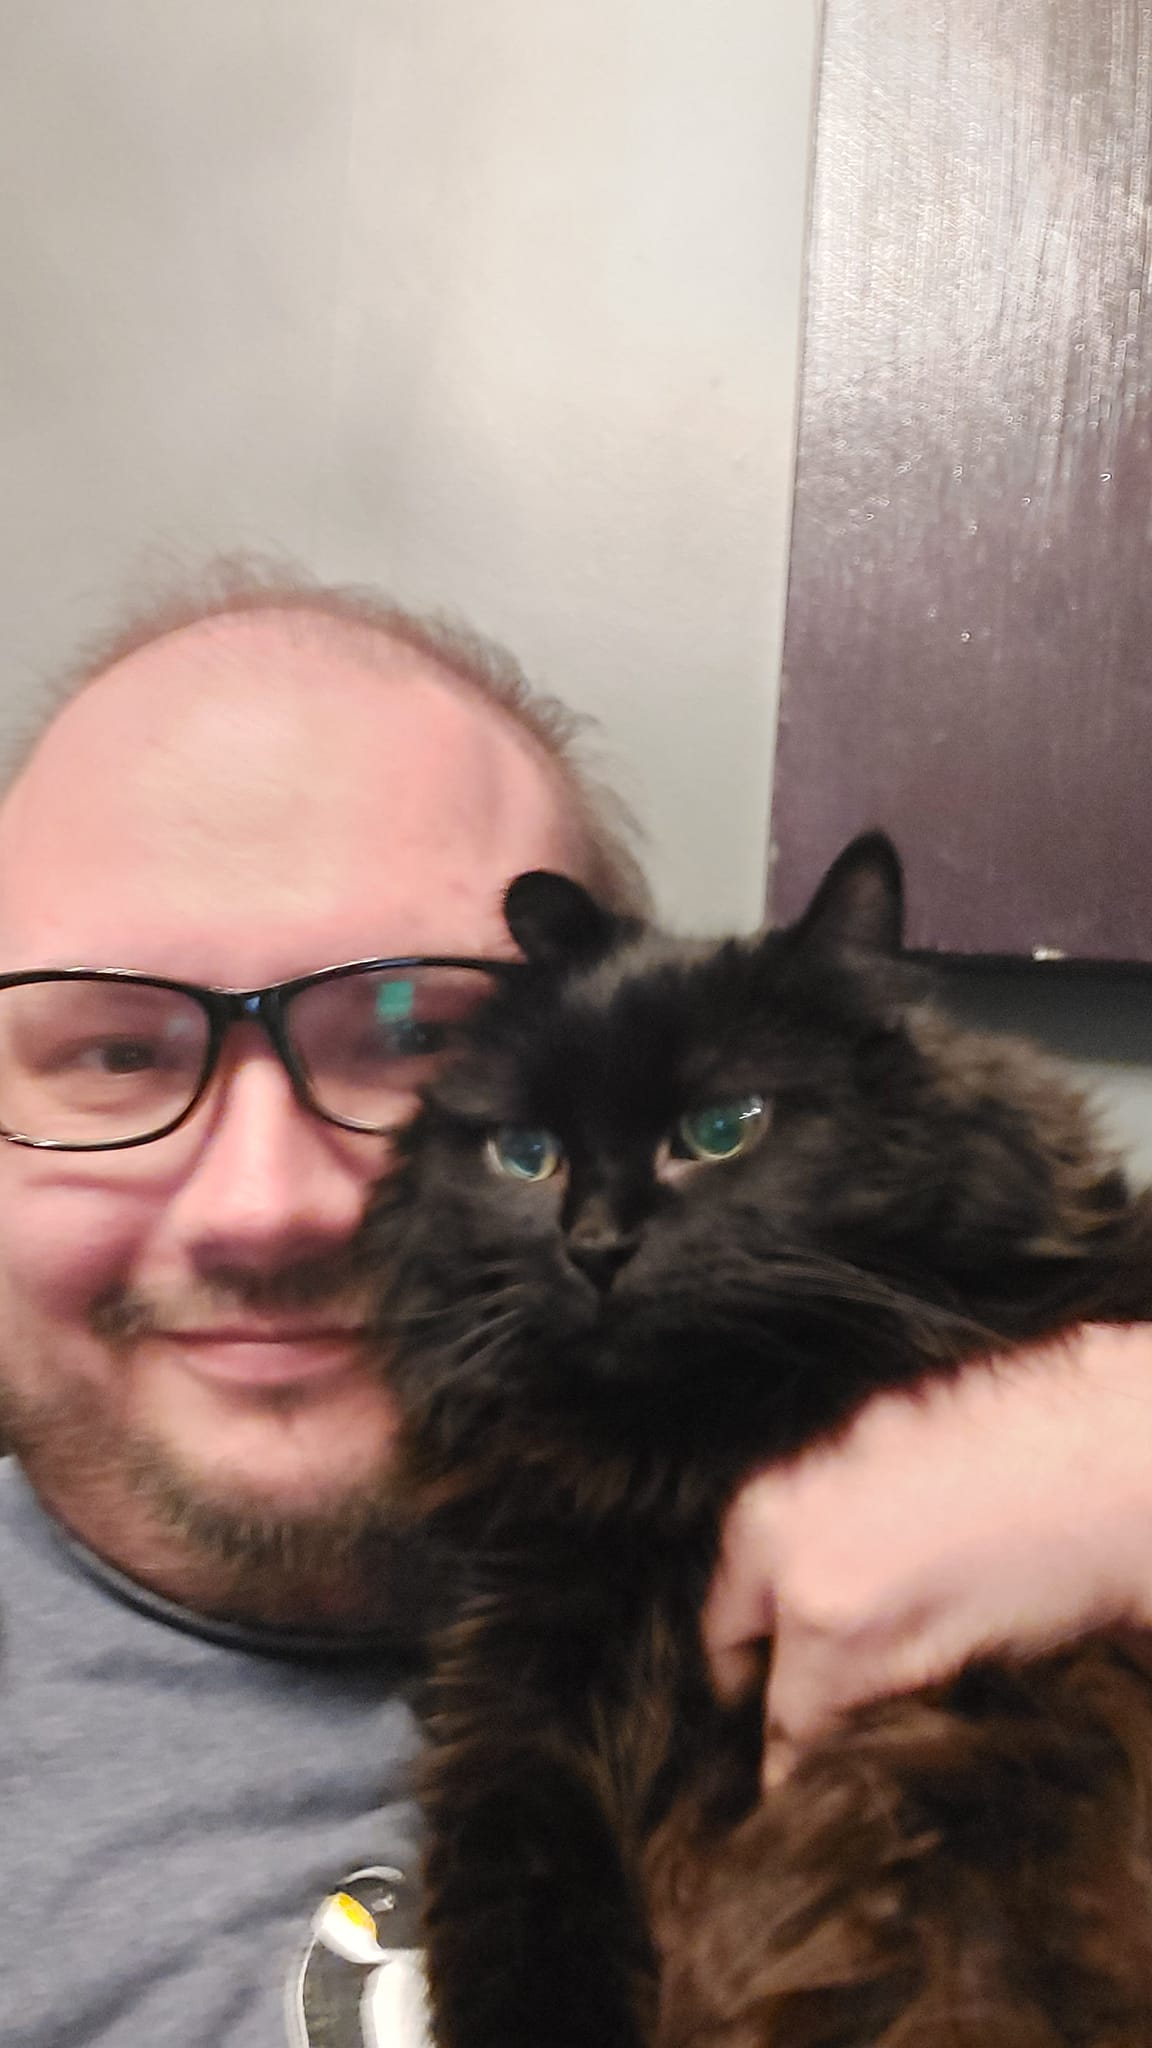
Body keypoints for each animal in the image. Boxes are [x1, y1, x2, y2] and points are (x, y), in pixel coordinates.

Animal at [368, 835, 1152, 2048]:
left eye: (722, 1129)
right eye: (527, 1154)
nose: (595, 1245)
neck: (675, 1463)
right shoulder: (516, 1702)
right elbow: (522, 1946)